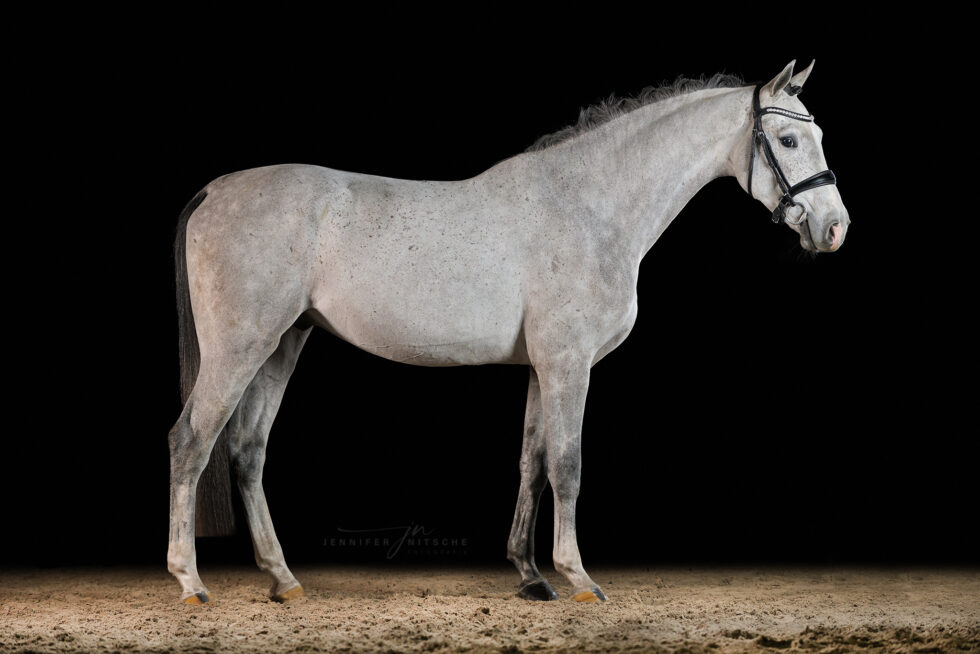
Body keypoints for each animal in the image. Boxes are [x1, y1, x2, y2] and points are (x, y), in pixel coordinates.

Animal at [168, 60, 849, 604]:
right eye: (787, 138)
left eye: (815, 134)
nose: (834, 227)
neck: (586, 205)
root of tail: (213, 191)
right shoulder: (569, 364)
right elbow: (568, 464)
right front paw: (578, 578)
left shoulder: (540, 367)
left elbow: (532, 460)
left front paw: (530, 575)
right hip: (240, 347)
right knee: (192, 441)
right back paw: (191, 582)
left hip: (283, 344)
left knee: (247, 450)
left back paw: (283, 579)